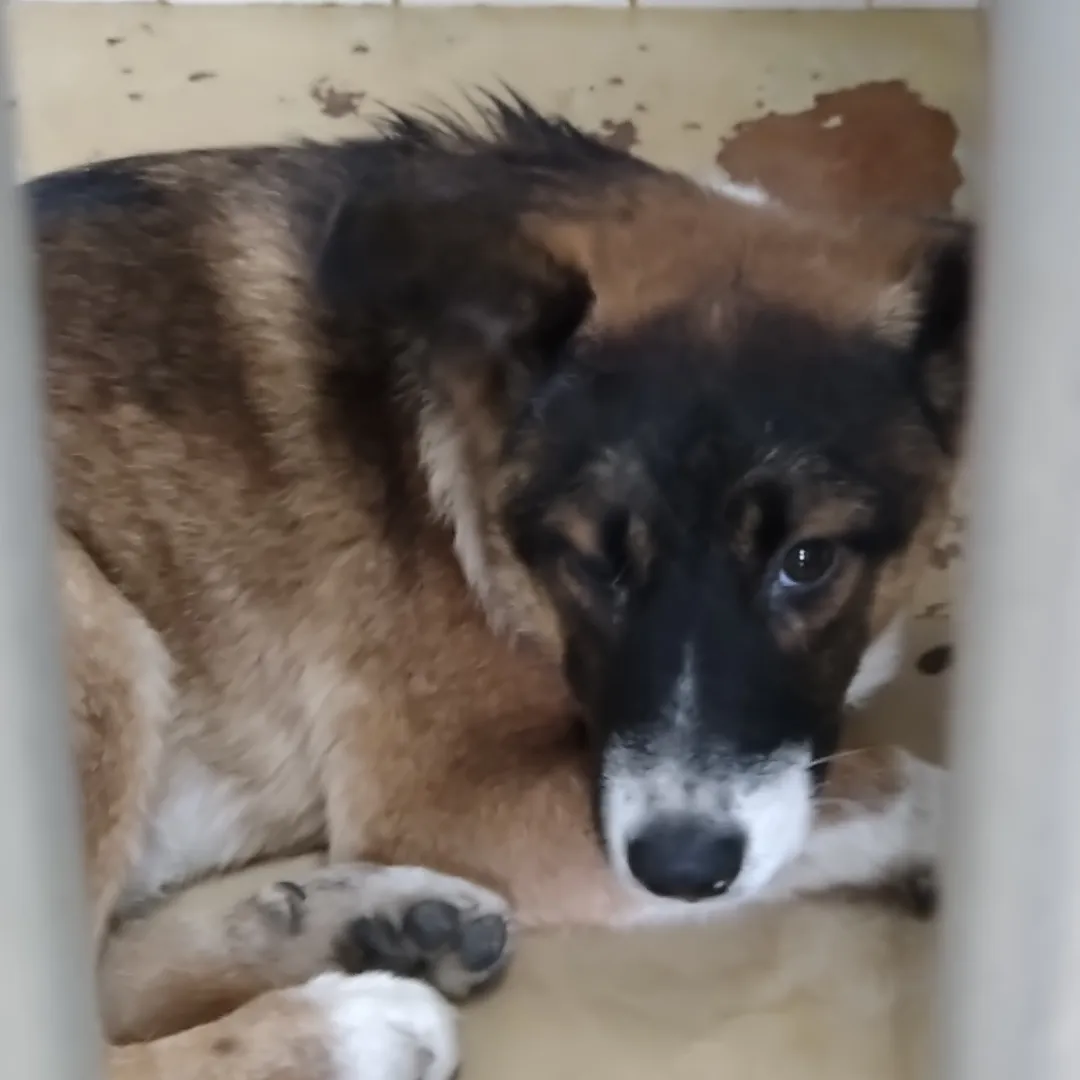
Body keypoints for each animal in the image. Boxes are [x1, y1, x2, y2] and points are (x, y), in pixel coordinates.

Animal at [35, 94, 971, 1080]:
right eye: (593, 560)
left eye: (808, 560)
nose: (680, 873)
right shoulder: (455, 801)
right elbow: (893, 779)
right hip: (87, 620)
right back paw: (353, 1029)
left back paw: (370, 926)